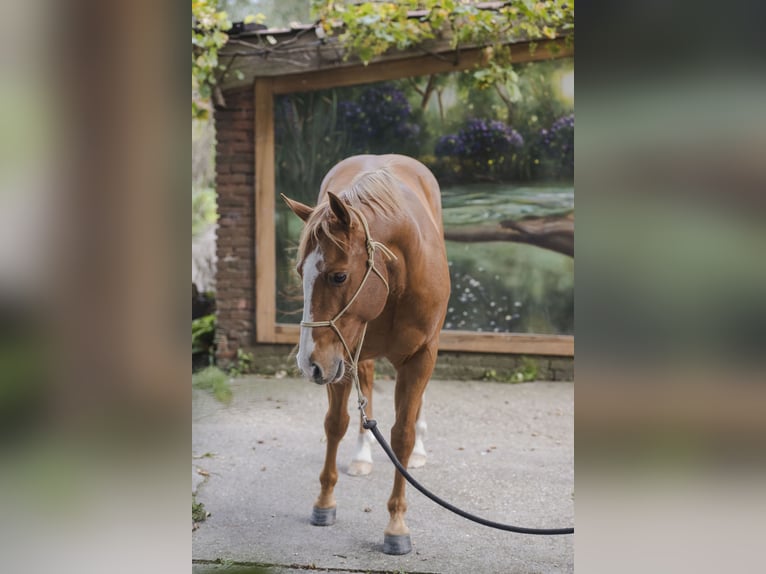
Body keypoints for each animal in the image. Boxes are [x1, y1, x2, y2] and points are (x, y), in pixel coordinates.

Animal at [281, 154, 451, 555]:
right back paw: (361, 454)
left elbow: (402, 434)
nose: (307, 363)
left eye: (339, 276)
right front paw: (325, 502)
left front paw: (397, 524)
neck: (396, 276)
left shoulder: (421, 356)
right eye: (299, 271)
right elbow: (335, 423)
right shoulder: (339, 357)